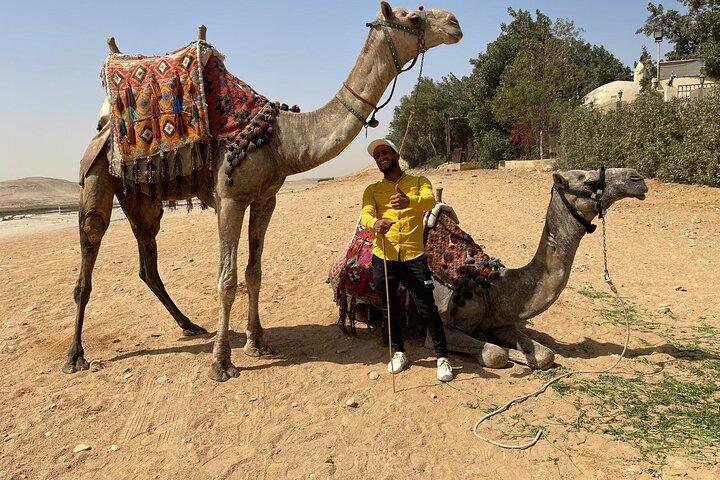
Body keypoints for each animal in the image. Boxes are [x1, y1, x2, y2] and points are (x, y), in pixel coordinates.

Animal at [65, 2, 463, 381]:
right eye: (412, 18)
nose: (455, 23)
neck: (282, 140)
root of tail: (104, 124)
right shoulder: (230, 199)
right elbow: (227, 279)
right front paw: (221, 363)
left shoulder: (265, 200)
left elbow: (253, 272)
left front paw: (257, 343)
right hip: (96, 176)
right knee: (90, 245)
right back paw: (75, 356)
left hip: (143, 200)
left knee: (148, 260)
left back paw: (190, 325)